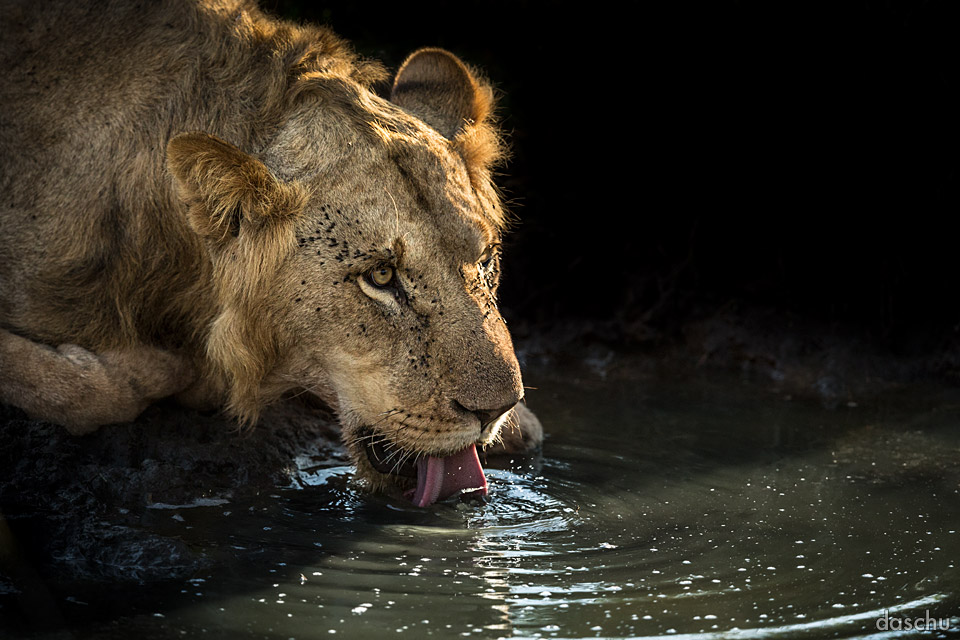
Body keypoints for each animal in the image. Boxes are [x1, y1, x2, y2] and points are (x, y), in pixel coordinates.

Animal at [0, 1, 540, 510]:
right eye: (382, 276)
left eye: (486, 260)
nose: (494, 409)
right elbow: (84, 393)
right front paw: (156, 369)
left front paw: (520, 424)